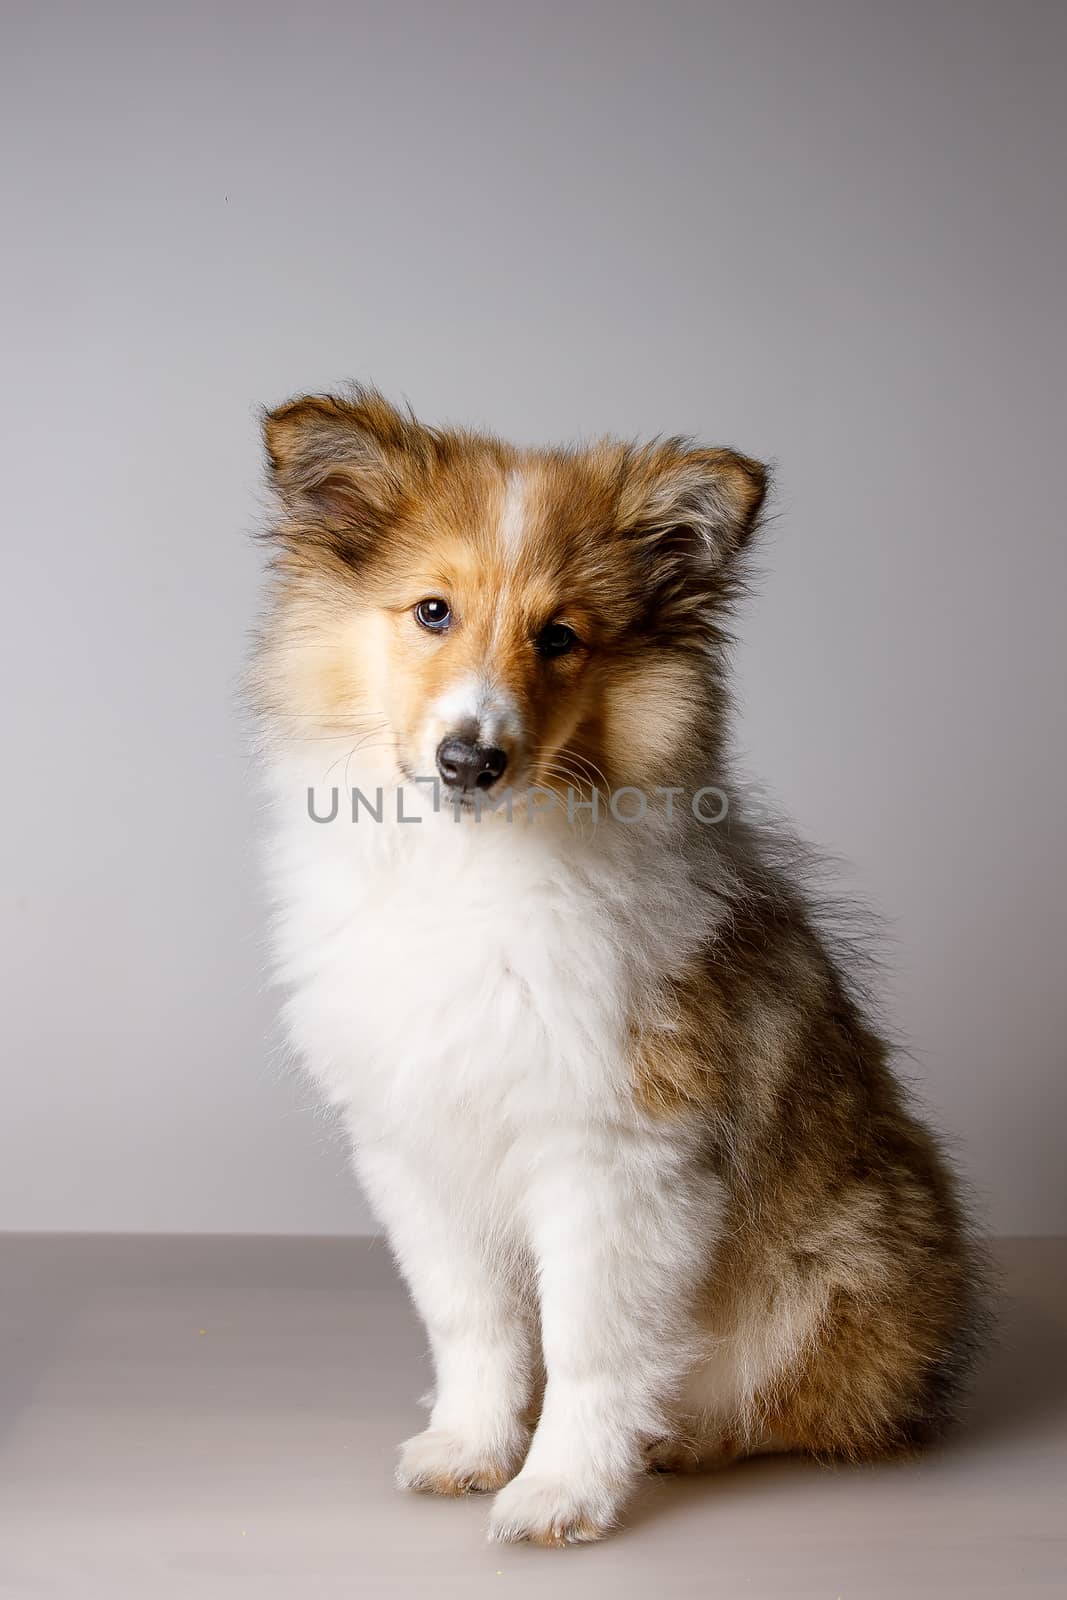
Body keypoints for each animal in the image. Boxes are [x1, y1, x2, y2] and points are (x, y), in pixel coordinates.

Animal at [247, 380, 985, 1542]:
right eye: (431, 612)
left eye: (560, 637)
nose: (470, 759)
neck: (469, 871)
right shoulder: (417, 1144)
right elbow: (473, 1318)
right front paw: (469, 1450)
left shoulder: (618, 1151)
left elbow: (590, 1341)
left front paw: (559, 1492)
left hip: (837, 1270)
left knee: (802, 1404)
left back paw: (676, 1437)